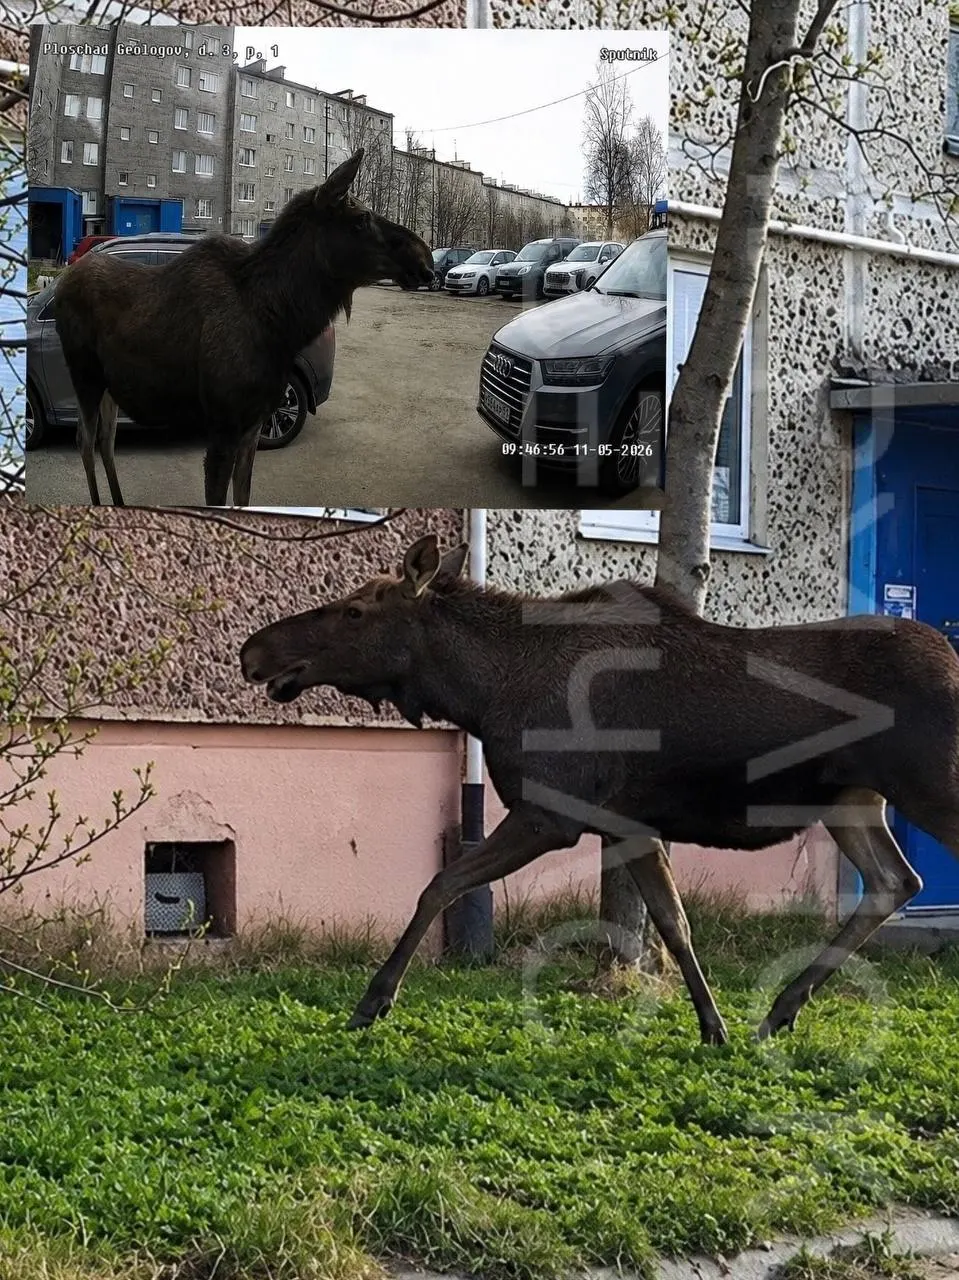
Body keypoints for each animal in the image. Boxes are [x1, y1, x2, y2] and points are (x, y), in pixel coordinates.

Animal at [240, 533, 959, 1044]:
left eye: (355, 610)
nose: (253, 651)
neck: (480, 694)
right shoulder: (626, 823)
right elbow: (671, 923)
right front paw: (714, 1028)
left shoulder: (548, 813)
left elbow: (439, 885)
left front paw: (372, 1001)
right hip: (853, 799)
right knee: (894, 879)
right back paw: (779, 1010)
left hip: (927, 785)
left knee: (901, 877)